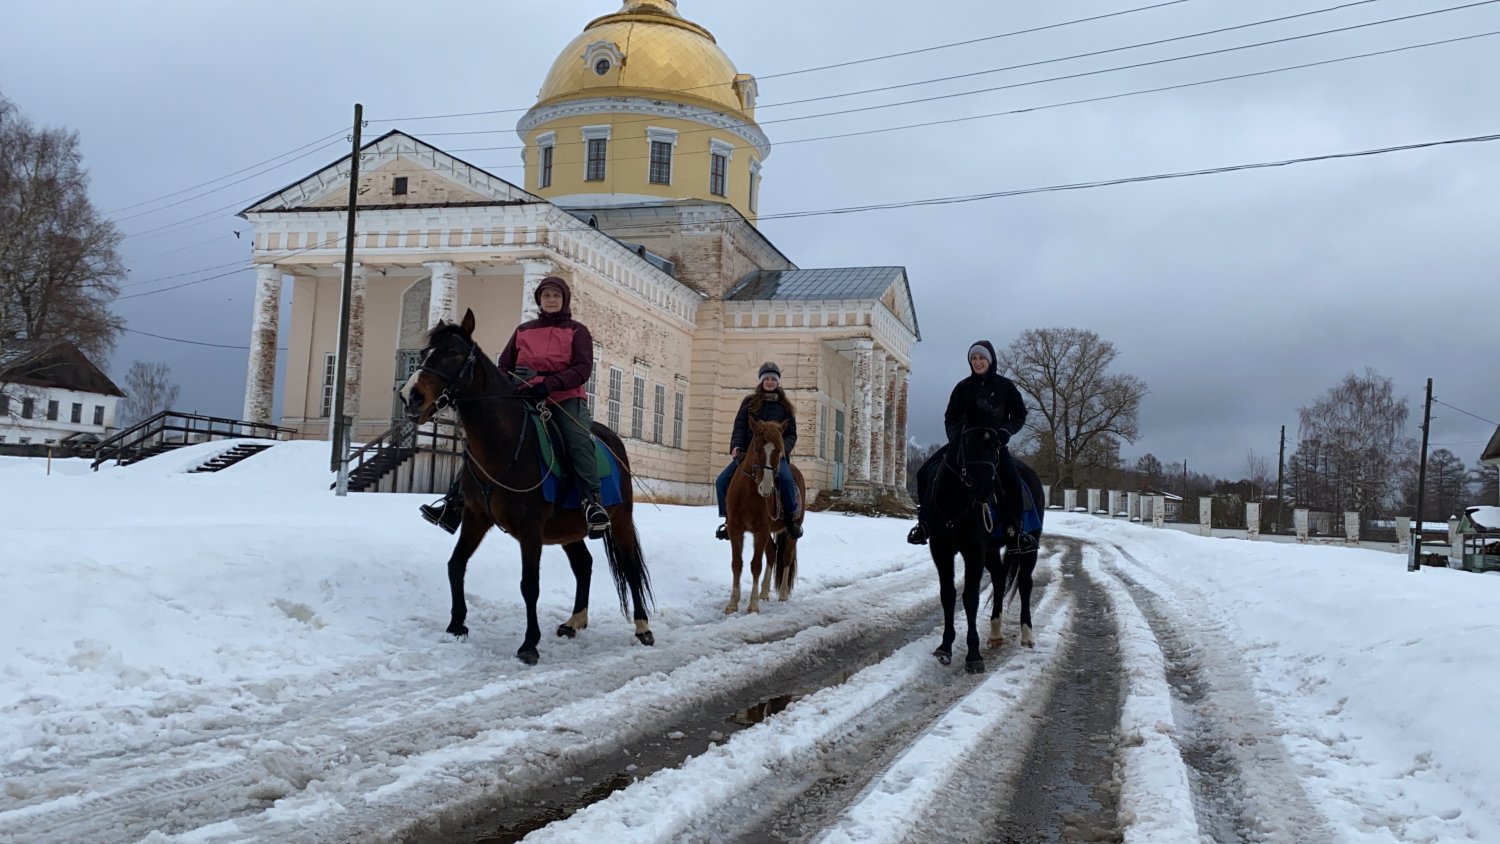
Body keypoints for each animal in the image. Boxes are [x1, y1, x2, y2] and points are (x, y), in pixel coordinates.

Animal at [402, 310, 654, 668]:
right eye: (424, 354)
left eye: (454, 354)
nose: (411, 396)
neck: (504, 445)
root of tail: (612, 440)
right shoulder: (476, 517)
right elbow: (455, 564)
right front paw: (456, 625)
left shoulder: (530, 528)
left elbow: (529, 585)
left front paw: (529, 644)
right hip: (568, 529)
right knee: (584, 565)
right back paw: (574, 621)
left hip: (619, 521)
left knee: (630, 568)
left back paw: (643, 626)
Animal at [720, 419, 804, 614]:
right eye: (757, 448)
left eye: (778, 450)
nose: (766, 488)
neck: (748, 494)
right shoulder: (736, 529)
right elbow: (737, 563)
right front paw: (733, 603)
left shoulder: (761, 530)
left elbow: (755, 565)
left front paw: (753, 606)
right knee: (772, 553)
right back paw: (764, 593)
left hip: (791, 530)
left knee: (786, 556)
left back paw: (782, 595)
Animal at [912, 416, 1044, 674]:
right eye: (967, 442)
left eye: (995, 445)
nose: (984, 489)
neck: (955, 501)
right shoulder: (941, 550)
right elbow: (948, 594)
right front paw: (945, 647)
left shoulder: (973, 552)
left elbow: (970, 597)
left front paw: (973, 654)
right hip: (991, 551)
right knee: (1000, 580)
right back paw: (995, 633)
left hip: (1029, 547)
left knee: (1025, 584)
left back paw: (1027, 635)